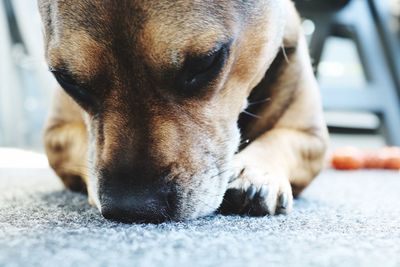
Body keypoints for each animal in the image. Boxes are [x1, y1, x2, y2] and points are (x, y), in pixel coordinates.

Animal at [38, 0, 328, 223]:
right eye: (67, 80)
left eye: (206, 62)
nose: (133, 206)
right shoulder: (56, 136)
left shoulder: (311, 137)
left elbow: (279, 139)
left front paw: (255, 173)